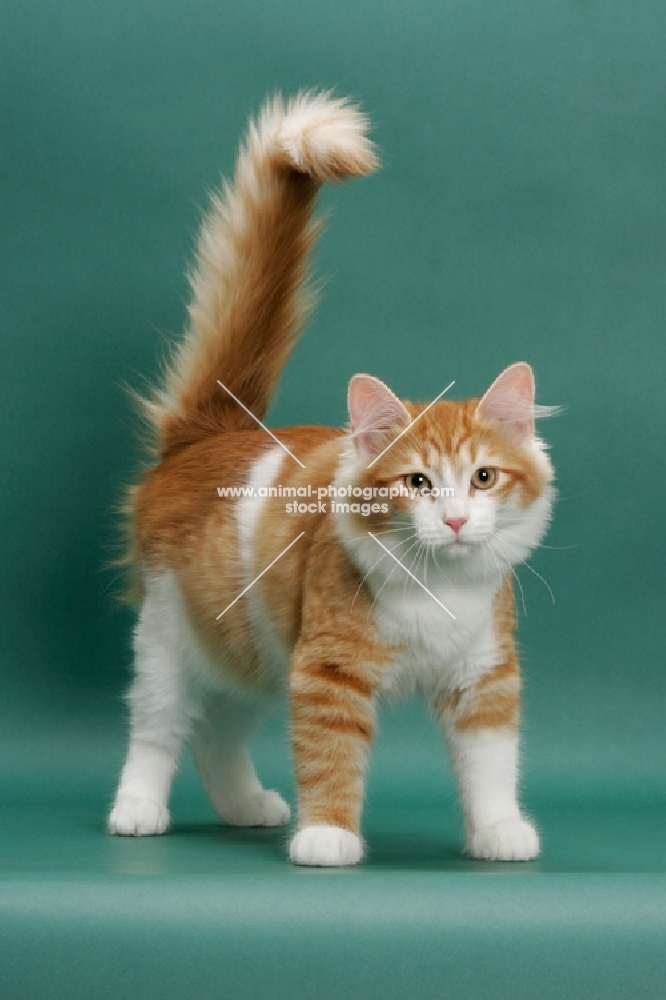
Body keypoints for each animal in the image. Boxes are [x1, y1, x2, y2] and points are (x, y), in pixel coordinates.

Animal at [110, 92, 556, 868]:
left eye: (483, 477)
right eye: (416, 483)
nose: (456, 521)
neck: (436, 590)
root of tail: (209, 433)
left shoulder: (483, 676)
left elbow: (492, 765)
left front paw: (500, 831)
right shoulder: (326, 671)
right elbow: (329, 757)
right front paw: (327, 837)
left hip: (251, 653)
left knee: (215, 735)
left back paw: (245, 808)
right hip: (171, 638)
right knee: (160, 731)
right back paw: (137, 810)